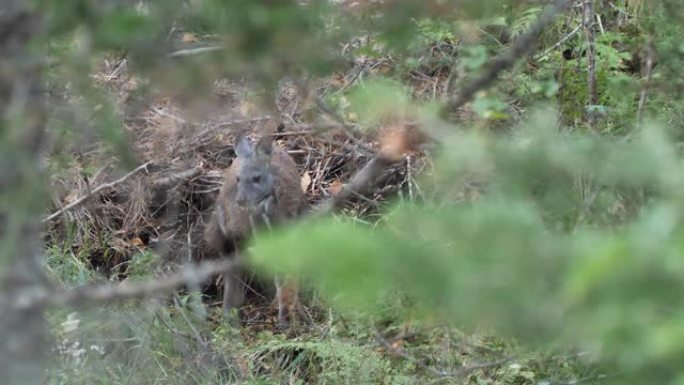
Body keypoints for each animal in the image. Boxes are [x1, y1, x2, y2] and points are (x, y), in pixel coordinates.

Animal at [203, 134, 308, 326]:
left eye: (257, 178)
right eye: (238, 179)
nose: (241, 200)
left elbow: (287, 278)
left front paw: (289, 317)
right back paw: (231, 315)